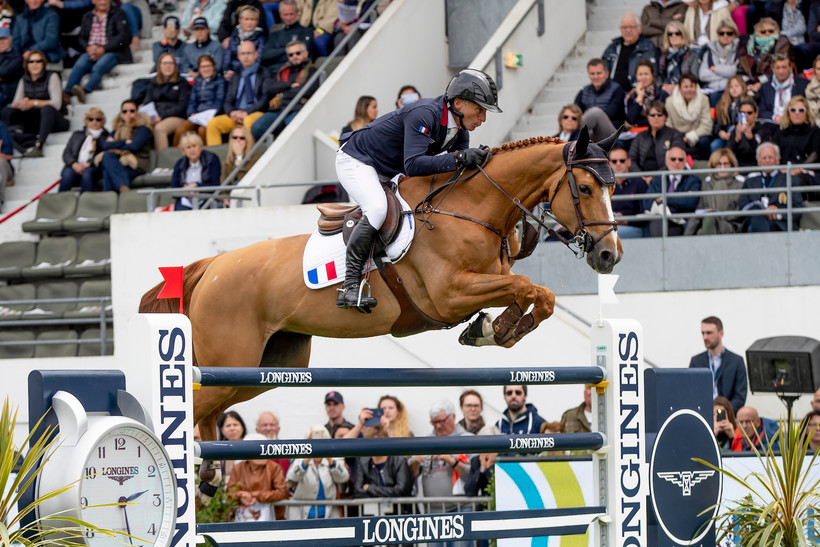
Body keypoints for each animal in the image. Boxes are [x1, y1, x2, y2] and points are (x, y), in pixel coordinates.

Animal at [139, 127, 620, 440]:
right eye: (584, 188)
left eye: (613, 189)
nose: (610, 255)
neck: (471, 207)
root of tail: (211, 266)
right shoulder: (450, 294)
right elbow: (529, 287)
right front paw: (498, 328)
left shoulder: (487, 280)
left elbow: (533, 291)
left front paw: (495, 329)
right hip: (230, 362)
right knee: (188, 410)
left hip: (263, 371)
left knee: (210, 411)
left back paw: (212, 476)